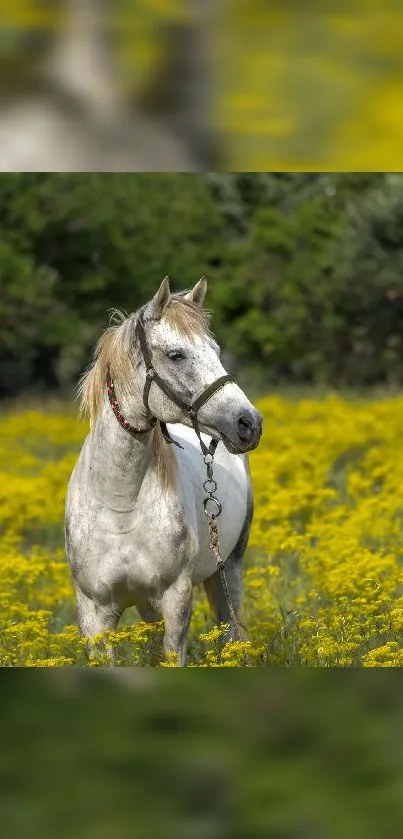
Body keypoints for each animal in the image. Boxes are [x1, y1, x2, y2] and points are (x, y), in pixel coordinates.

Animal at [66, 278, 262, 668]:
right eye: (176, 355)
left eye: (216, 350)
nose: (249, 423)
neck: (120, 504)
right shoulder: (95, 613)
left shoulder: (175, 601)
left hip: (229, 570)